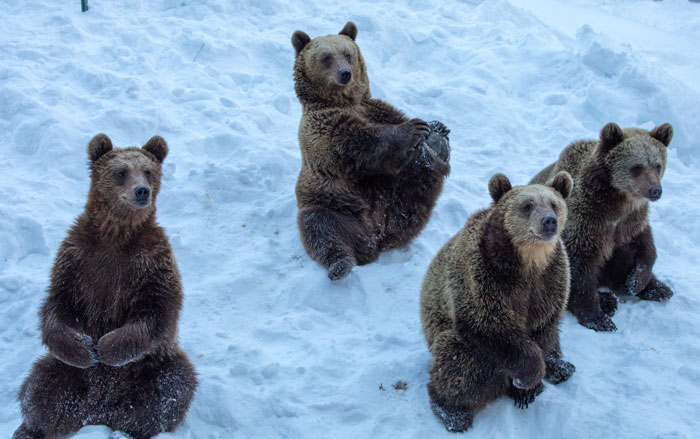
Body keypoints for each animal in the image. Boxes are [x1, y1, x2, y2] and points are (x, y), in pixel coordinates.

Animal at [13, 134, 197, 439]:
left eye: (148, 171)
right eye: (121, 172)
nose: (142, 191)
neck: (116, 235)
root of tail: (95, 411)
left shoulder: (152, 264)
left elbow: (157, 310)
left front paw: (108, 348)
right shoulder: (77, 262)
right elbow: (57, 306)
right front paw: (86, 350)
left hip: (150, 366)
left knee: (172, 387)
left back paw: (132, 427)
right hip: (66, 372)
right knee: (40, 387)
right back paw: (30, 428)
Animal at [291, 21, 451, 281]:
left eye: (347, 54)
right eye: (326, 57)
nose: (345, 74)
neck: (344, 101)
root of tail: (376, 237)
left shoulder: (376, 109)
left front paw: (436, 126)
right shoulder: (322, 127)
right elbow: (362, 143)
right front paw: (413, 128)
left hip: (396, 201)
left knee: (418, 188)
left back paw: (437, 150)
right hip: (331, 203)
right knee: (321, 230)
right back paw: (340, 264)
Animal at [420, 172, 575, 432]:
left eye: (553, 204)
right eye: (527, 206)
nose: (549, 221)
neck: (528, 260)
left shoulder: (550, 281)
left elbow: (545, 326)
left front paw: (531, 386)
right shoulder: (484, 276)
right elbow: (490, 325)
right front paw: (529, 378)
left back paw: (562, 368)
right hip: (448, 334)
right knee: (458, 358)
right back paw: (452, 411)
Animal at [530, 122, 674, 332]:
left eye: (657, 165)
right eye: (637, 167)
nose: (655, 190)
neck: (619, 202)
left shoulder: (631, 221)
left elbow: (644, 245)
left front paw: (637, 282)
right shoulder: (587, 221)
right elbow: (580, 266)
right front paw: (598, 318)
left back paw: (659, 289)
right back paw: (608, 300)